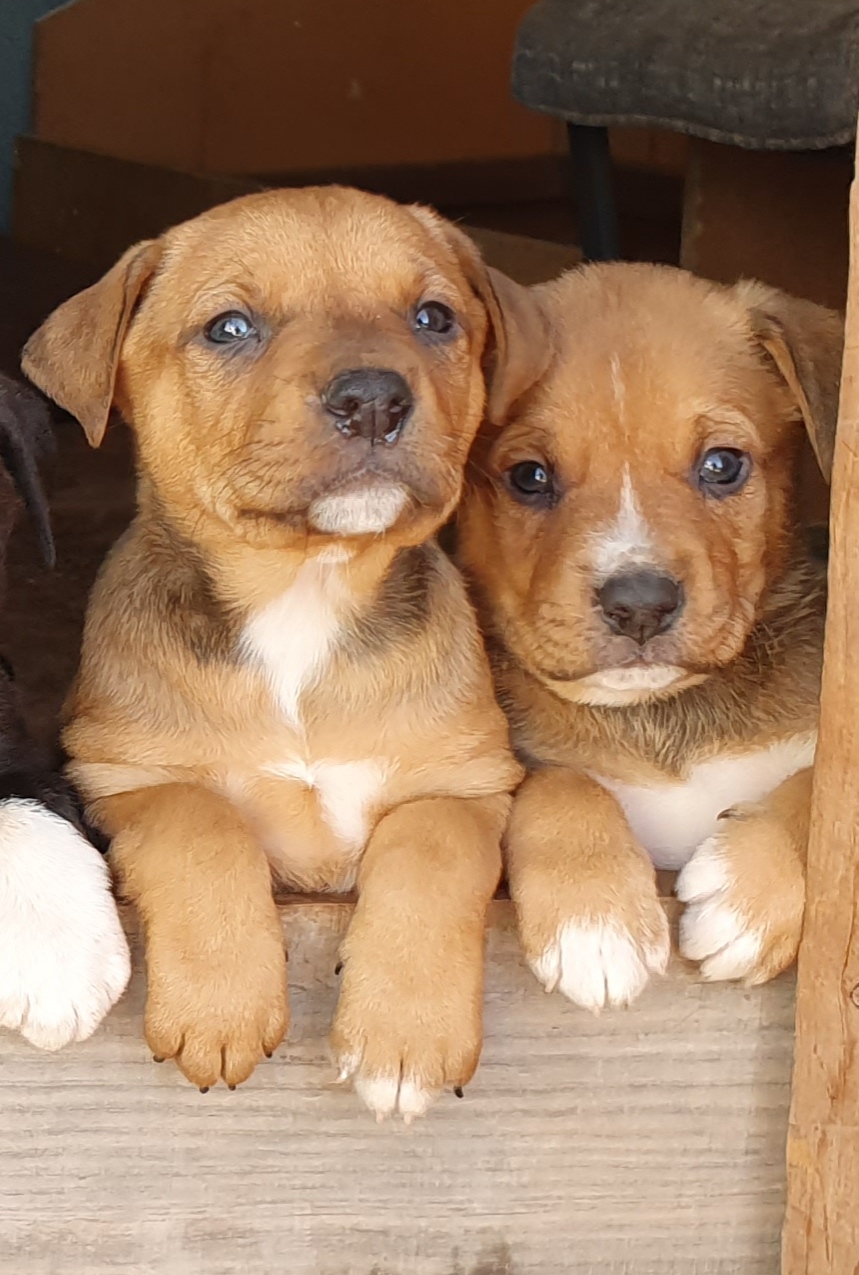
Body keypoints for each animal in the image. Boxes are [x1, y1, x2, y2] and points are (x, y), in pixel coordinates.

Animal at [458, 263, 841, 1009]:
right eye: (528, 476)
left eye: (722, 464)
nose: (639, 605)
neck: (657, 713)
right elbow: (557, 782)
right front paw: (593, 916)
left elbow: (820, 791)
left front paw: (748, 894)